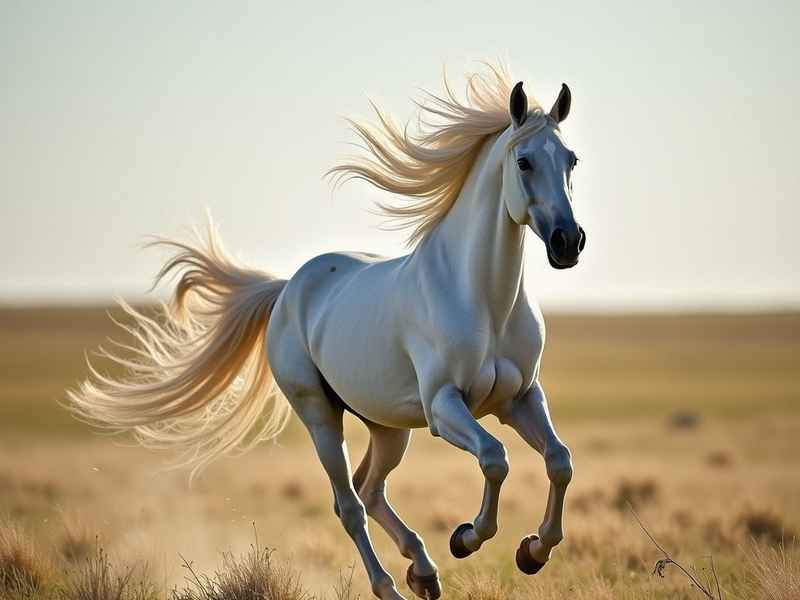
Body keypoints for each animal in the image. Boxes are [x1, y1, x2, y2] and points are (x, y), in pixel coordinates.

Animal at [69, 64, 586, 600]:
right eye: (524, 161)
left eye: (571, 160)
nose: (568, 242)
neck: (483, 300)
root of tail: (289, 288)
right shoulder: (444, 406)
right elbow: (494, 457)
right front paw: (467, 537)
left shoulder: (520, 398)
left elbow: (560, 460)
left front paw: (533, 551)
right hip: (320, 415)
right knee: (349, 504)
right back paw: (392, 585)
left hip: (387, 425)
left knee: (370, 489)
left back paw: (422, 571)